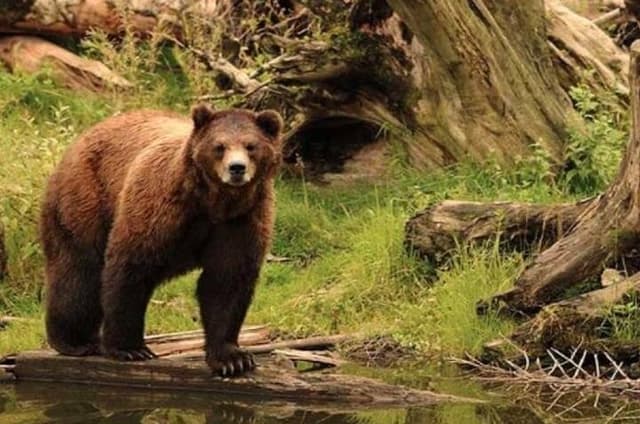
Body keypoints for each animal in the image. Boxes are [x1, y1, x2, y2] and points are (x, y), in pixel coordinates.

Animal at [40, 104, 283, 376]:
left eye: (251, 145)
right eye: (219, 146)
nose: (237, 168)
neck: (213, 202)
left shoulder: (242, 219)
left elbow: (226, 281)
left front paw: (233, 358)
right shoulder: (161, 206)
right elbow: (131, 266)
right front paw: (131, 348)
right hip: (86, 197)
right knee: (79, 270)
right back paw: (74, 341)